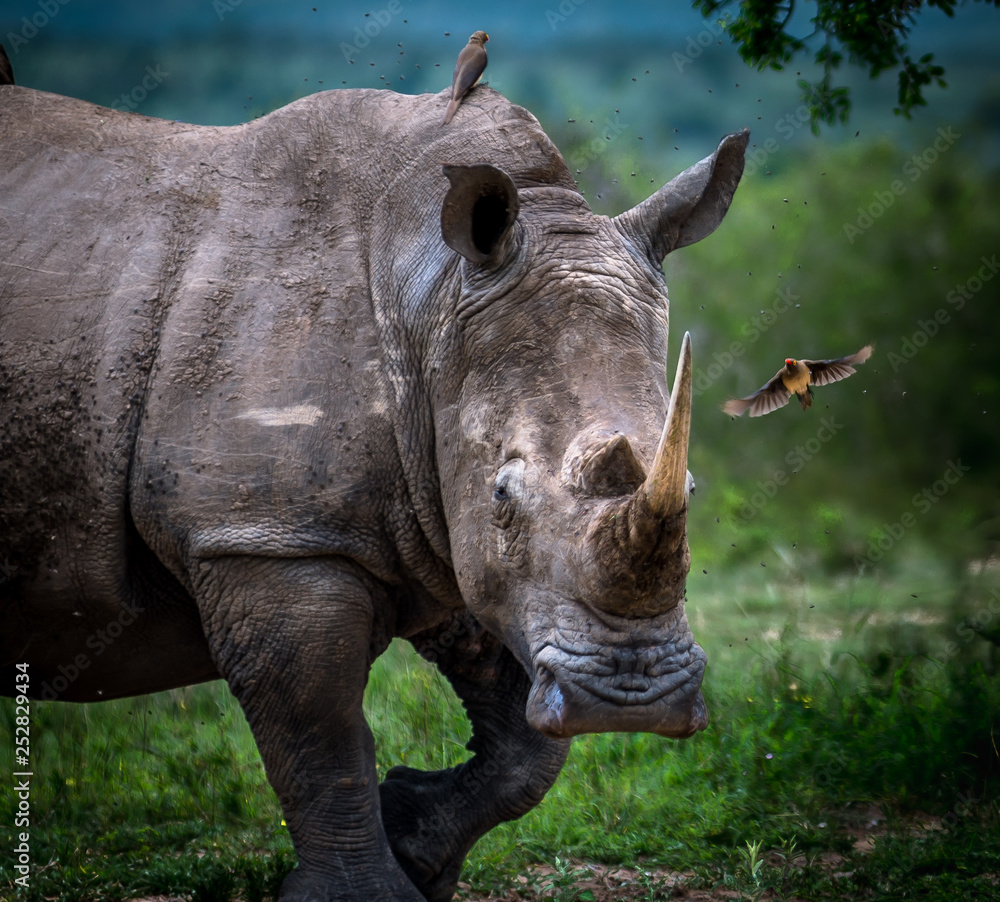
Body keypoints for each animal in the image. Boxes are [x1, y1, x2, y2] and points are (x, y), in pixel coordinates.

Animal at [0, 74, 747, 901]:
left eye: (692, 487)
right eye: (503, 496)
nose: (629, 699)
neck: (427, 289)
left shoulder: (439, 525)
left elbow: (527, 742)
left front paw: (414, 840)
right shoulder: (270, 539)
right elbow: (319, 732)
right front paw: (366, 890)